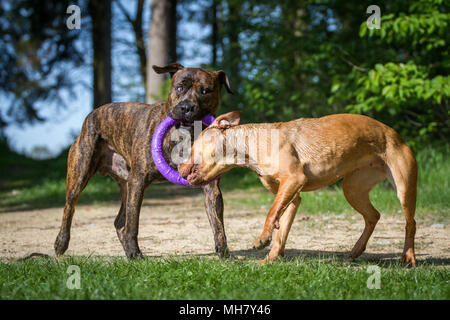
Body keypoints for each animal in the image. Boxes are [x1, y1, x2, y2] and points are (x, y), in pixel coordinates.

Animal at [53, 62, 232, 258]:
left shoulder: (211, 187)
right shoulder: (138, 181)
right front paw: (135, 253)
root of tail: (91, 115)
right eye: (180, 87)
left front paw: (224, 252)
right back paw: (61, 243)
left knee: (119, 222)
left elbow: (217, 223)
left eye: (205, 91)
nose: (186, 107)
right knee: (69, 207)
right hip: (81, 173)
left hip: (125, 184)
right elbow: (133, 223)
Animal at [179, 111, 418, 266]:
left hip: (404, 188)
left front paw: (262, 239)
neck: (251, 146)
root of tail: (395, 134)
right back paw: (357, 249)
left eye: (192, 146)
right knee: (373, 215)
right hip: (352, 189)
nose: (180, 168)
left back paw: (408, 257)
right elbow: (281, 231)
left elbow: (271, 213)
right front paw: (269, 259)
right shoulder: (292, 197)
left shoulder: (293, 180)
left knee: (410, 223)